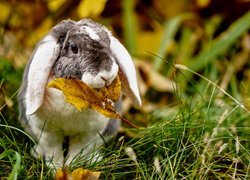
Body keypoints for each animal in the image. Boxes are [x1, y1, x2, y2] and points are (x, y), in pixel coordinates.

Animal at [18, 19, 141, 168]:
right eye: (74, 48)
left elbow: (78, 151)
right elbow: (53, 151)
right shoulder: (46, 131)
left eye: (108, 43)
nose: (107, 74)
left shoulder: (88, 133)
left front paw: (71, 167)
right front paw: (56, 169)